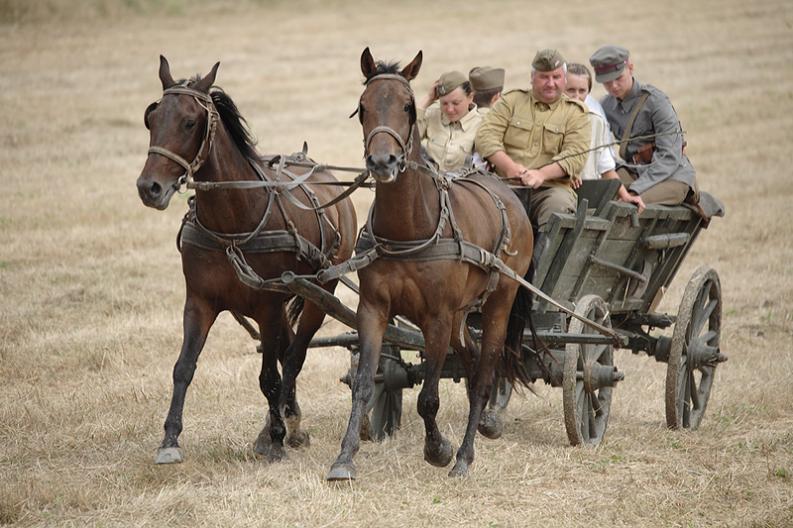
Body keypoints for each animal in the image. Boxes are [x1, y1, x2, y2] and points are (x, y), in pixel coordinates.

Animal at [136, 55, 356, 464]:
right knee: (288, 351)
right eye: (152, 118)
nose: (149, 188)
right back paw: (290, 419)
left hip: (322, 293)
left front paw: (273, 439)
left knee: (295, 355)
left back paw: (281, 425)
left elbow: (269, 376)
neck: (232, 224)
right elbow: (183, 368)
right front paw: (170, 440)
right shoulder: (199, 301)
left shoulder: (267, 305)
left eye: (189, 122)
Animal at [324, 47, 536, 480]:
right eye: (363, 106)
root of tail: (507, 193)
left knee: (485, 373)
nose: (383, 161)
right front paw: (344, 458)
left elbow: (428, 398)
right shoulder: (374, 309)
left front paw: (439, 449)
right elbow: (364, 384)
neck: (410, 229)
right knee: (471, 361)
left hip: (499, 303)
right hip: (460, 316)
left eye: (408, 106)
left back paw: (466, 456)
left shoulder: (436, 317)